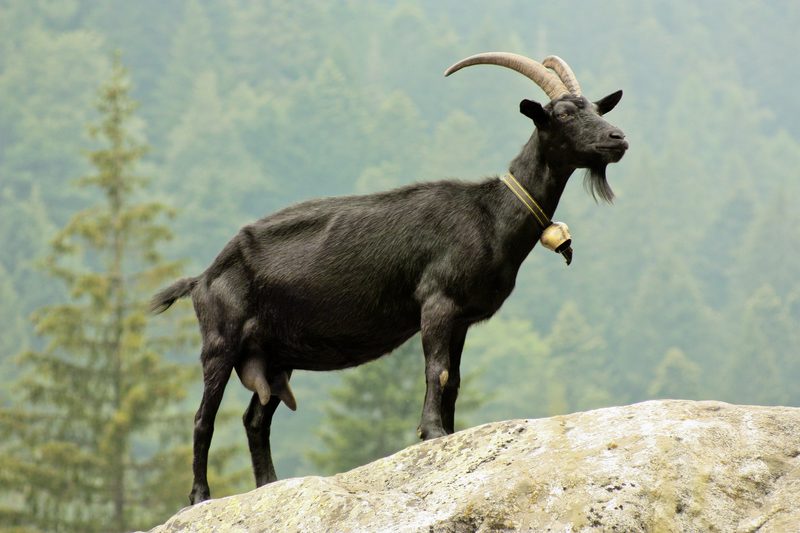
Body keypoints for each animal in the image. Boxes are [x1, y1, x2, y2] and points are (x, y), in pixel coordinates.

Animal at [151, 52, 628, 504]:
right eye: (563, 114)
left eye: (597, 108)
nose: (617, 138)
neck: (490, 216)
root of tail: (202, 277)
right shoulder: (436, 302)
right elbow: (436, 370)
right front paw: (432, 433)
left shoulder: (461, 319)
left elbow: (454, 381)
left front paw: (452, 435)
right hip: (221, 341)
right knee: (203, 418)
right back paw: (200, 496)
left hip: (274, 353)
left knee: (255, 417)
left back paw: (270, 485)